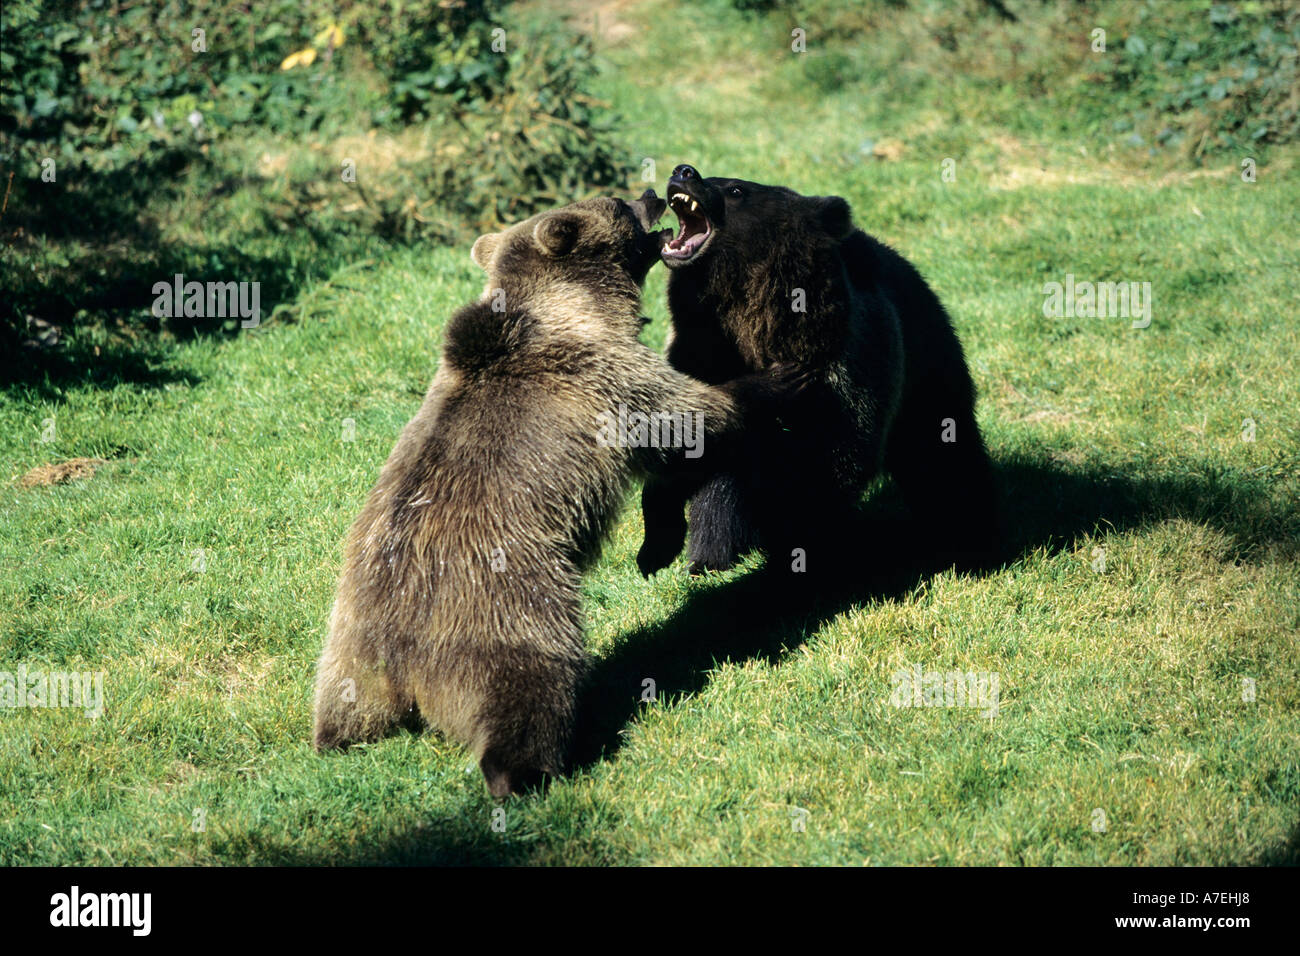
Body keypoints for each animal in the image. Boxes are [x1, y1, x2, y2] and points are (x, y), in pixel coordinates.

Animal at [313, 189, 801, 797]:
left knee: (338, 700)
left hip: (346, 635)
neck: (576, 306)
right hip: (508, 604)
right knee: (528, 681)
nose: (649, 193)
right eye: (617, 204)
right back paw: (525, 769)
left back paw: (331, 737)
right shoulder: (603, 374)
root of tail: (397, 659)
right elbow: (689, 414)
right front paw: (776, 380)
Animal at [637, 164, 998, 579]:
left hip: (927, 359)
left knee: (944, 450)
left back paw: (969, 536)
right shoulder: (702, 354)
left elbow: (828, 465)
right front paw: (668, 545)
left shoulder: (840, 366)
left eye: (736, 188)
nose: (684, 171)